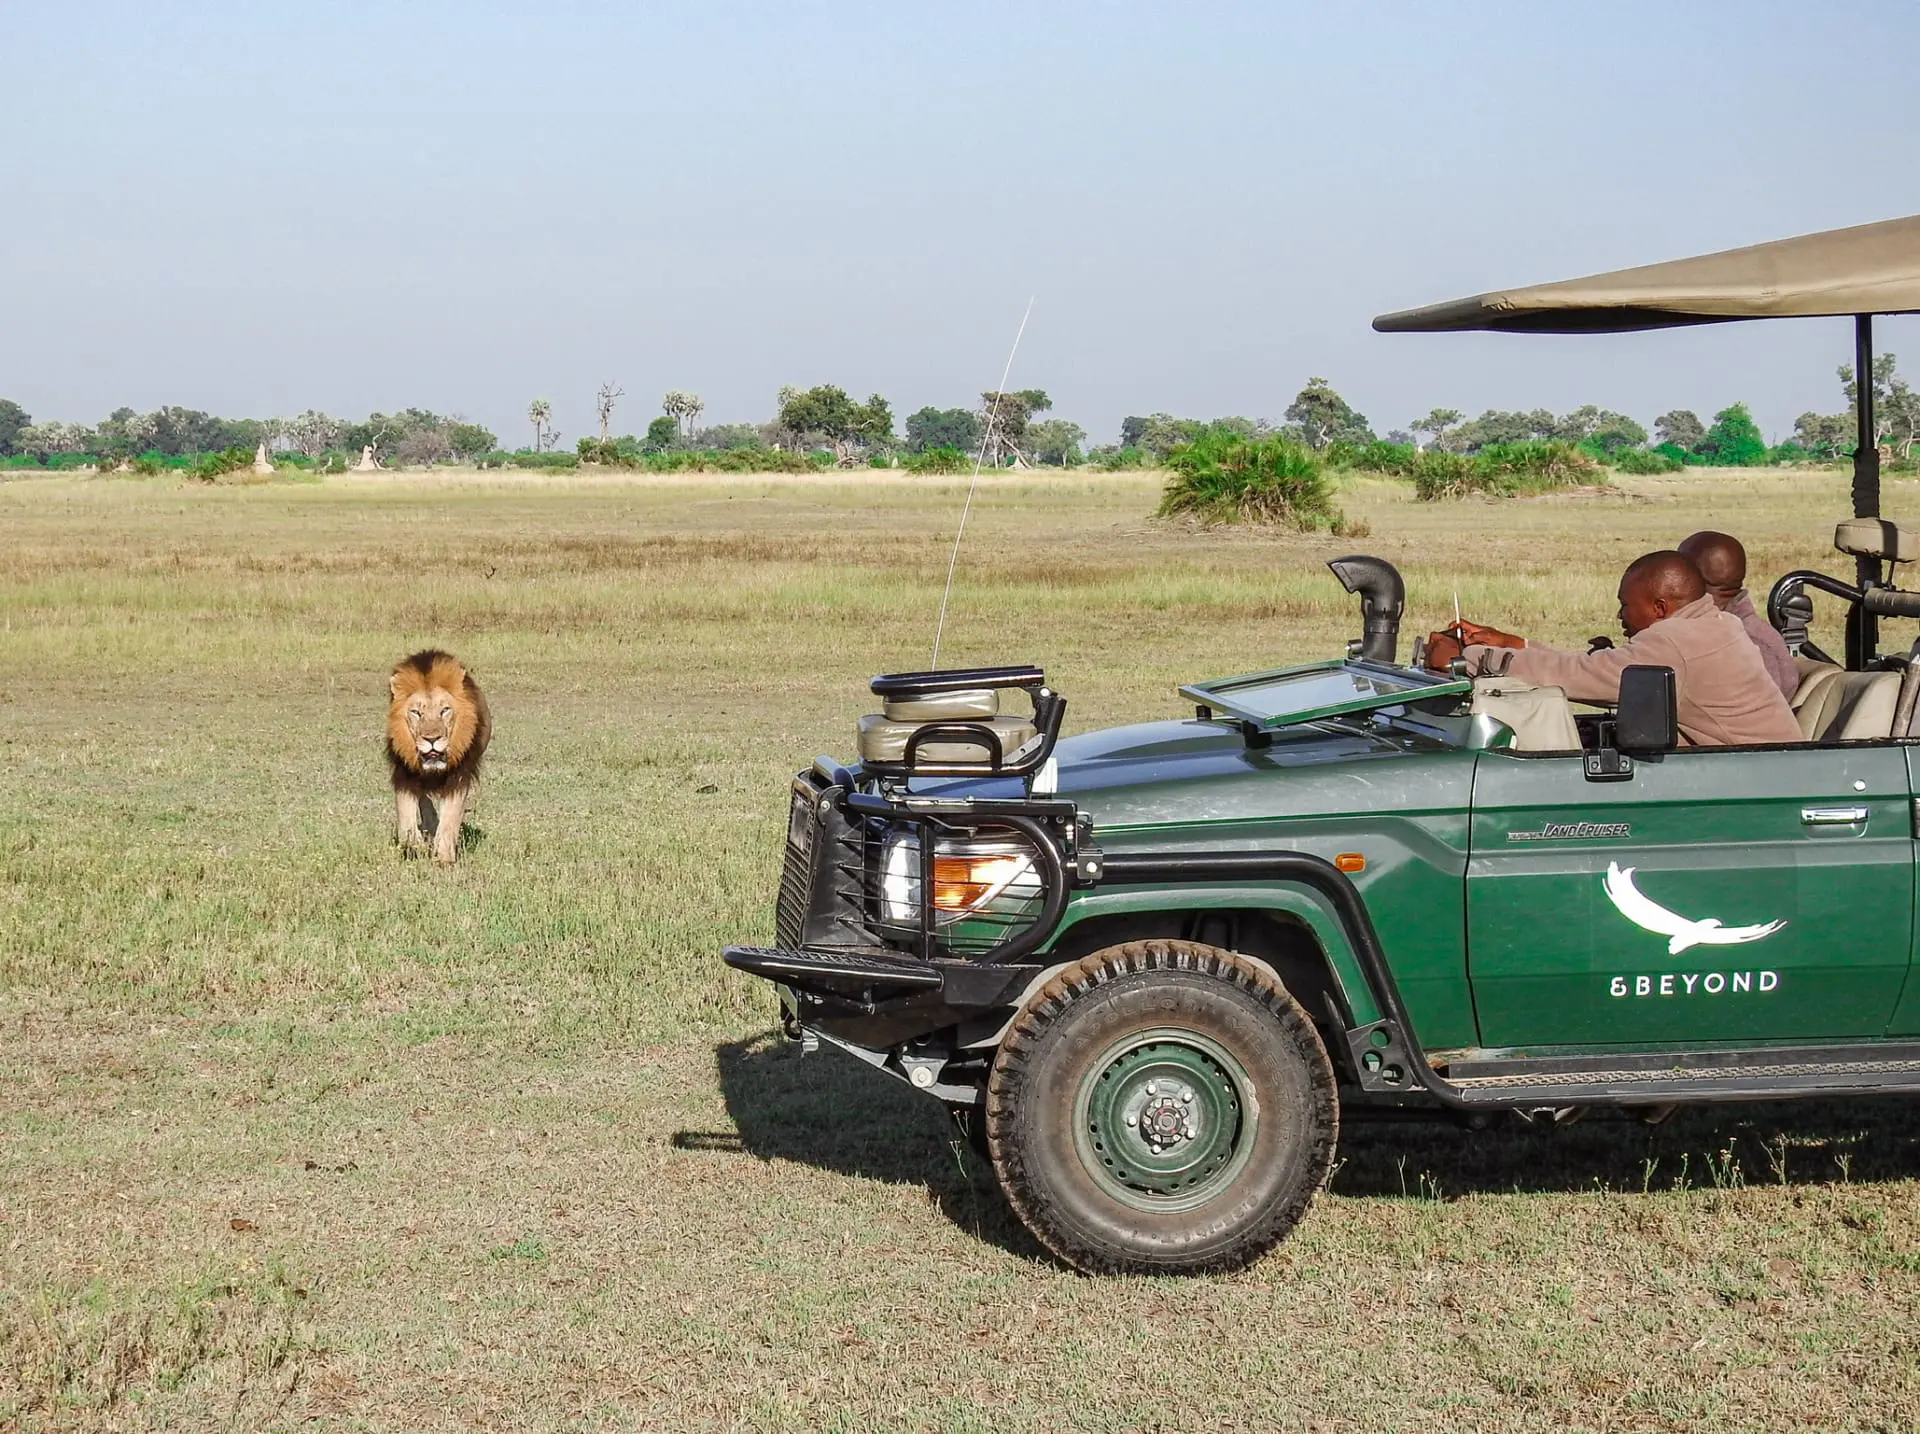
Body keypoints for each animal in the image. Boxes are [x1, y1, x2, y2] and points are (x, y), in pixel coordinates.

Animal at [386, 650, 492, 865]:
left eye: (445, 710)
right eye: (416, 712)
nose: (432, 739)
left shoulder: (459, 777)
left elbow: (450, 819)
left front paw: (444, 859)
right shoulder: (404, 774)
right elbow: (406, 819)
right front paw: (416, 846)